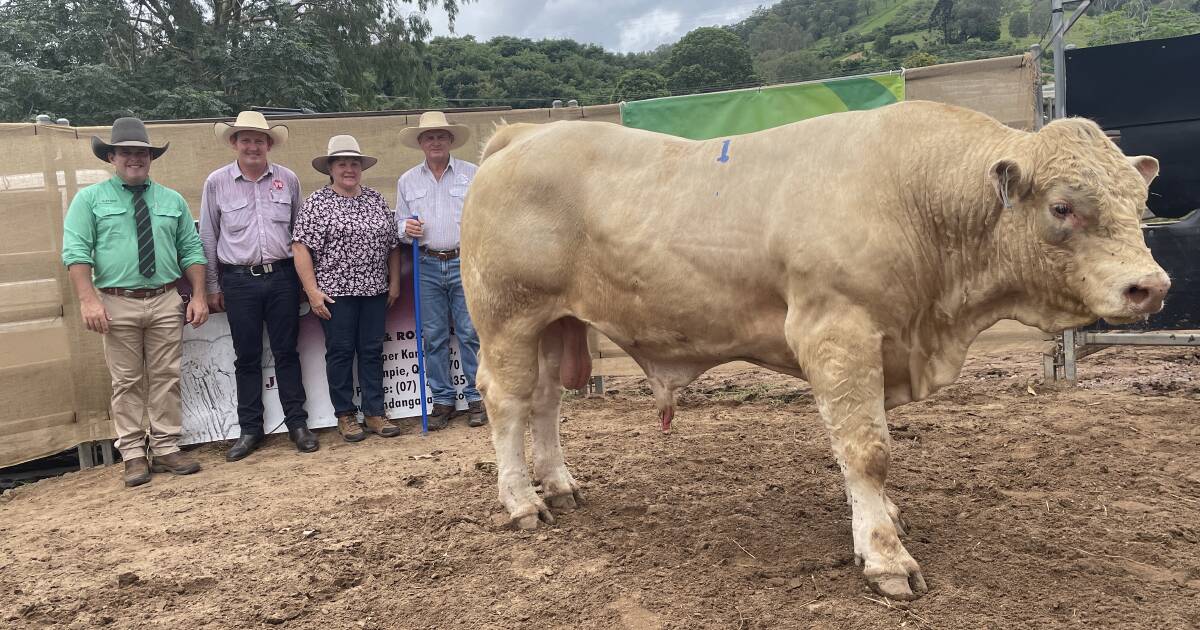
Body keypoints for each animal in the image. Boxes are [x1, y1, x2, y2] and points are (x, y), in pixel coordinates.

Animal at [456, 100, 1161, 597]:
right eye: (1063, 207)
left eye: (1141, 201)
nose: (1150, 286)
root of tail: (521, 137)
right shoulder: (838, 331)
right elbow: (867, 448)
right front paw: (885, 555)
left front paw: (886, 518)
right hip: (507, 316)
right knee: (507, 401)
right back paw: (522, 503)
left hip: (555, 323)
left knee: (546, 402)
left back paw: (559, 486)